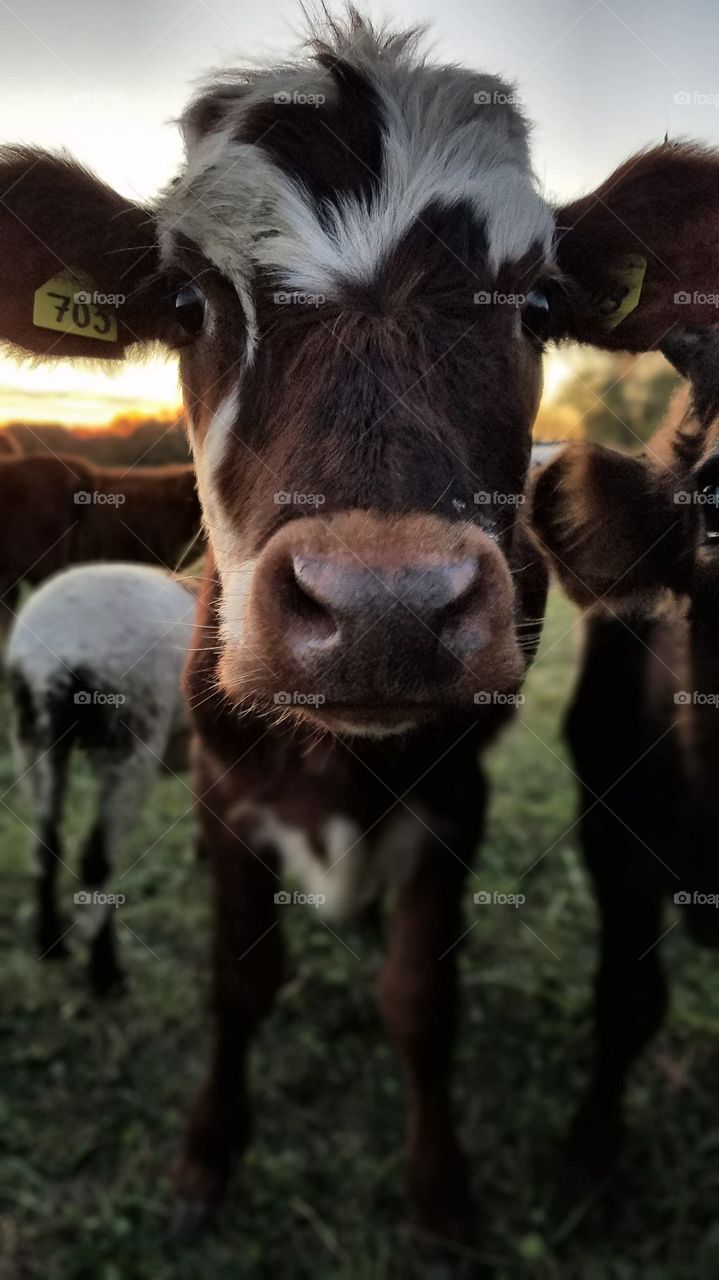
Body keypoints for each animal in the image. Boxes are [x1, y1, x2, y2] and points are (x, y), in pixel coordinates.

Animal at [1, 8, 718, 1266]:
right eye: (187, 304)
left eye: (536, 306)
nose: (383, 605)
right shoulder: (223, 789)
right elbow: (238, 980)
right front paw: (207, 1159)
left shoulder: (455, 800)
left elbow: (420, 1003)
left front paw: (436, 1201)